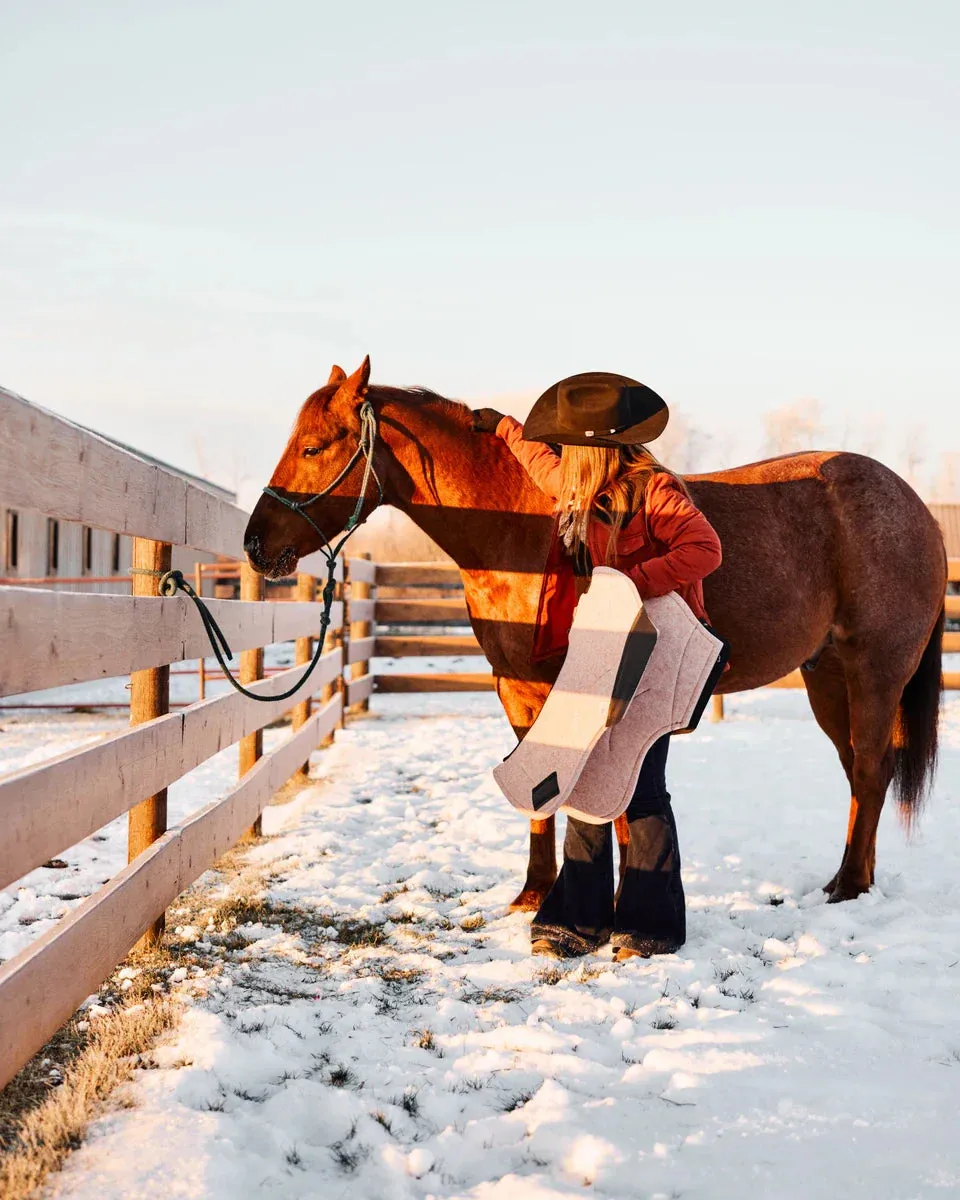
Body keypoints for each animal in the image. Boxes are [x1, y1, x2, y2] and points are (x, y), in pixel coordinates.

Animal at [246, 355, 945, 907]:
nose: (256, 545)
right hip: (827, 675)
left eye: (315, 447)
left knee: (872, 768)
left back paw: (849, 887)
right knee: (858, 769)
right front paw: (534, 894)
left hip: (875, 670)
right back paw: (852, 880)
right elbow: (539, 791)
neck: (527, 527)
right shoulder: (517, 689)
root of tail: (917, 508)